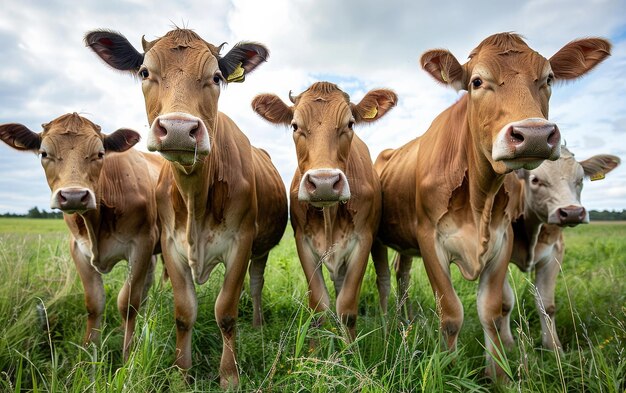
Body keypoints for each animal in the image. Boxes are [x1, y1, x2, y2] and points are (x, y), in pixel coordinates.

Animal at [0, 112, 163, 358]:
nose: (74, 196)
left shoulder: (142, 244)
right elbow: (94, 303)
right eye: (44, 153)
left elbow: (128, 303)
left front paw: (127, 356)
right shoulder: (78, 248)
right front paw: (88, 356)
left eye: (100, 154)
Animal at [84, 29, 286, 388]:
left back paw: (258, 324)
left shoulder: (242, 242)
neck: (195, 197)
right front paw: (181, 373)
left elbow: (226, 312)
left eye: (216, 77)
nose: (179, 129)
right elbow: (184, 313)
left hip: (261, 250)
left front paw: (230, 376)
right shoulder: (170, 244)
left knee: (256, 283)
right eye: (144, 72)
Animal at [251, 82, 392, 336]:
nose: (324, 182)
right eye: (295, 125)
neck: (330, 216)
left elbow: (346, 307)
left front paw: (349, 347)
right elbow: (318, 305)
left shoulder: (363, 240)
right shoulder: (302, 241)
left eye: (350, 124)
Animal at [504, 146, 616, 350]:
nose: (572, 212)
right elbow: (504, 303)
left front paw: (554, 348)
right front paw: (507, 347)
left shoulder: (554, 254)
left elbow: (546, 305)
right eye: (535, 180)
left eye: (580, 180)